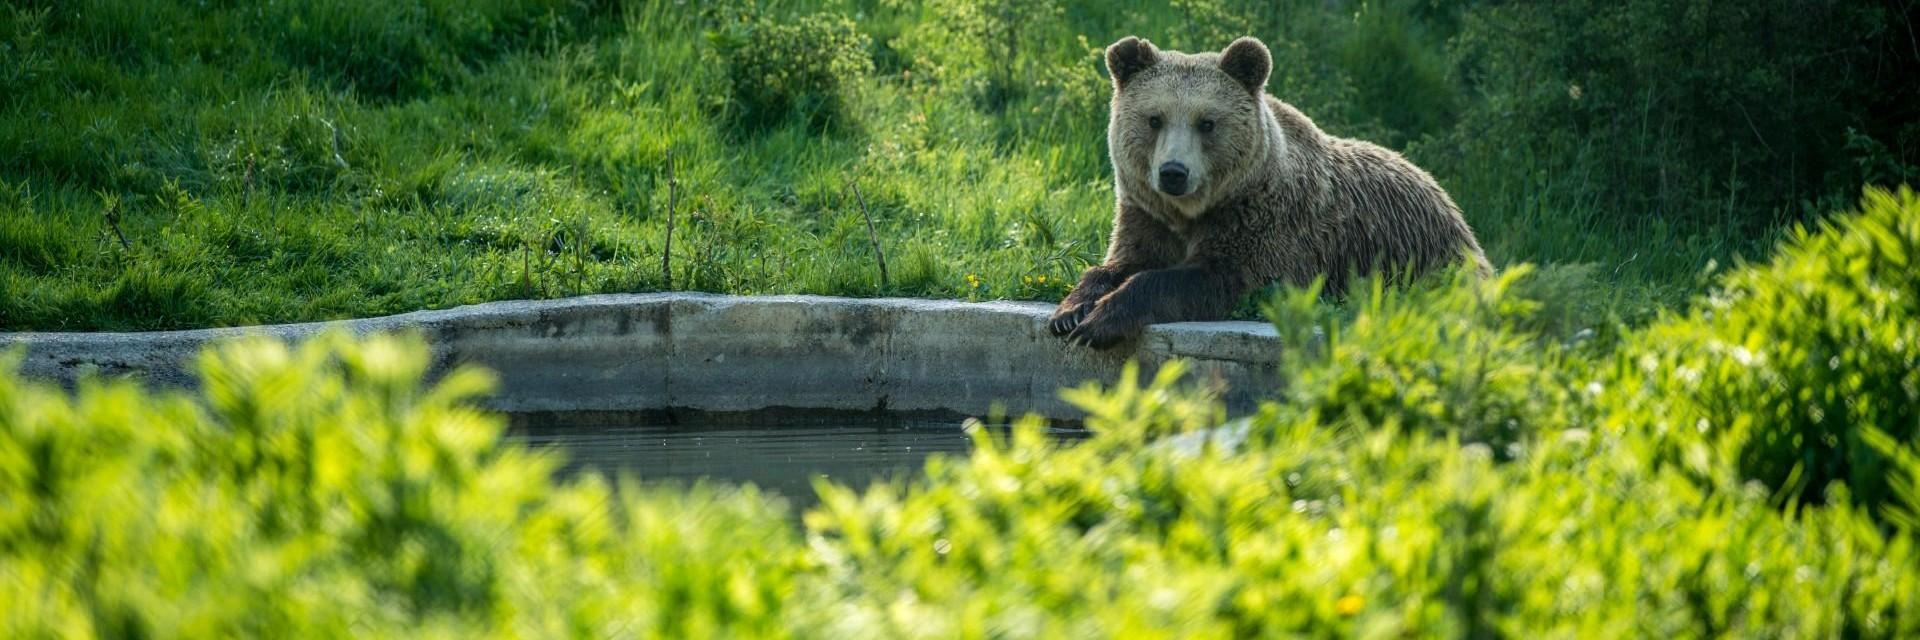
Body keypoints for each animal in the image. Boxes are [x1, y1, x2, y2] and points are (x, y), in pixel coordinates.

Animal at [1050, 35, 1492, 349]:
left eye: (1206, 122)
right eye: (1154, 119)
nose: (1173, 172)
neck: (1195, 212)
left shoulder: (1268, 227)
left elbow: (1213, 278)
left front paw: (1099, 321)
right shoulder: (1147, 214)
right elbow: (1120, 262)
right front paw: (1070, 312)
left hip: (1423, 257)